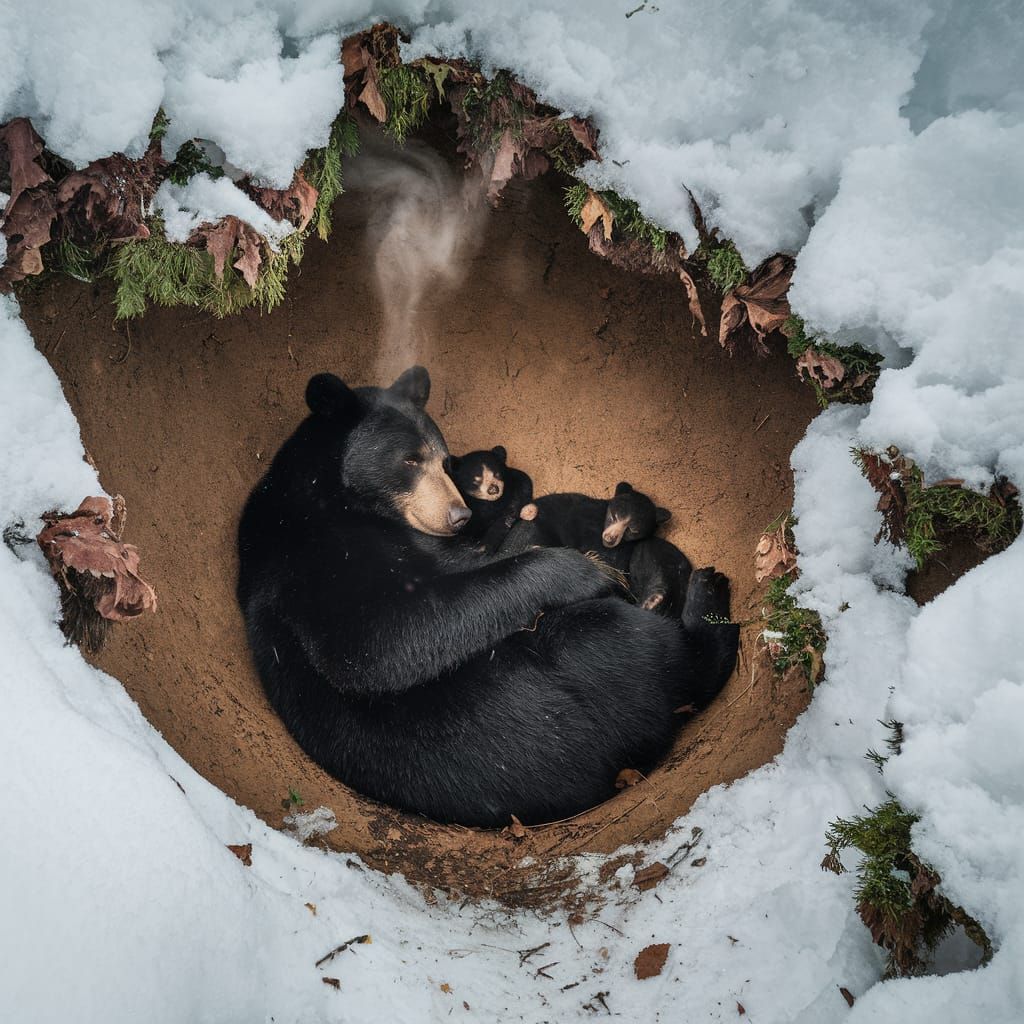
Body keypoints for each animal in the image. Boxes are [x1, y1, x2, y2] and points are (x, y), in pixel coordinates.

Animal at [237, 366, 739, 828]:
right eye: (409, 461)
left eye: (445, 462)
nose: (457, 515)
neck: (331, 495)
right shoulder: (316, 564)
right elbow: (378, 638)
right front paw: (588, 571)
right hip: (594, 667)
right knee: (654, 655)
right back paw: (706, 596)